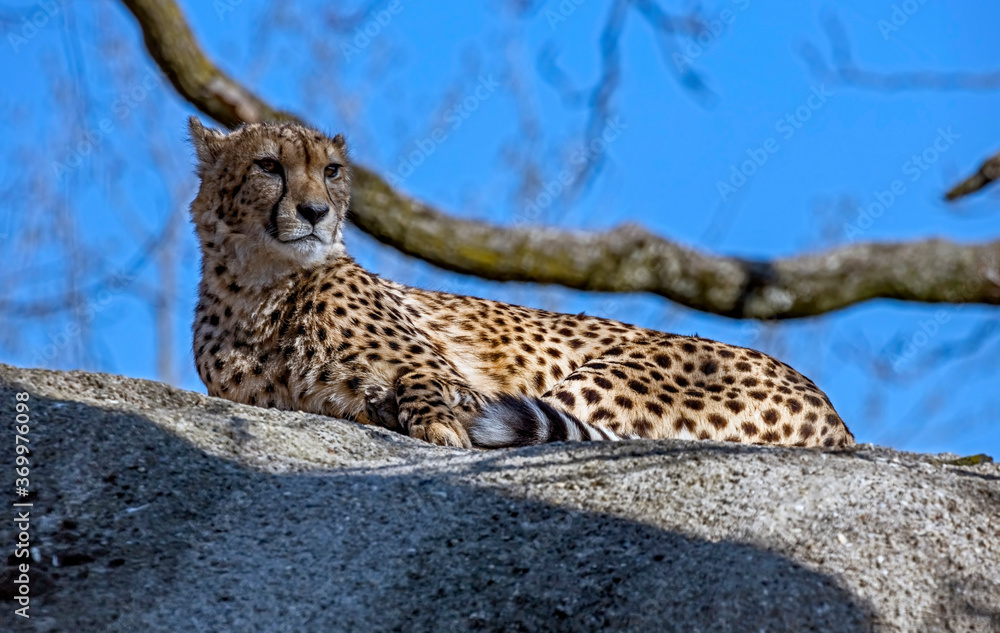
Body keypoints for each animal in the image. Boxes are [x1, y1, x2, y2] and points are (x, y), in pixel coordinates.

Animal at [187, 117, 855, 450]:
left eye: (330, 171)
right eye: (268, 166)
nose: (316, 212)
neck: (260, 289)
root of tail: (838, 421)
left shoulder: (456, 381)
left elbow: (433, 392)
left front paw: (434, 426)